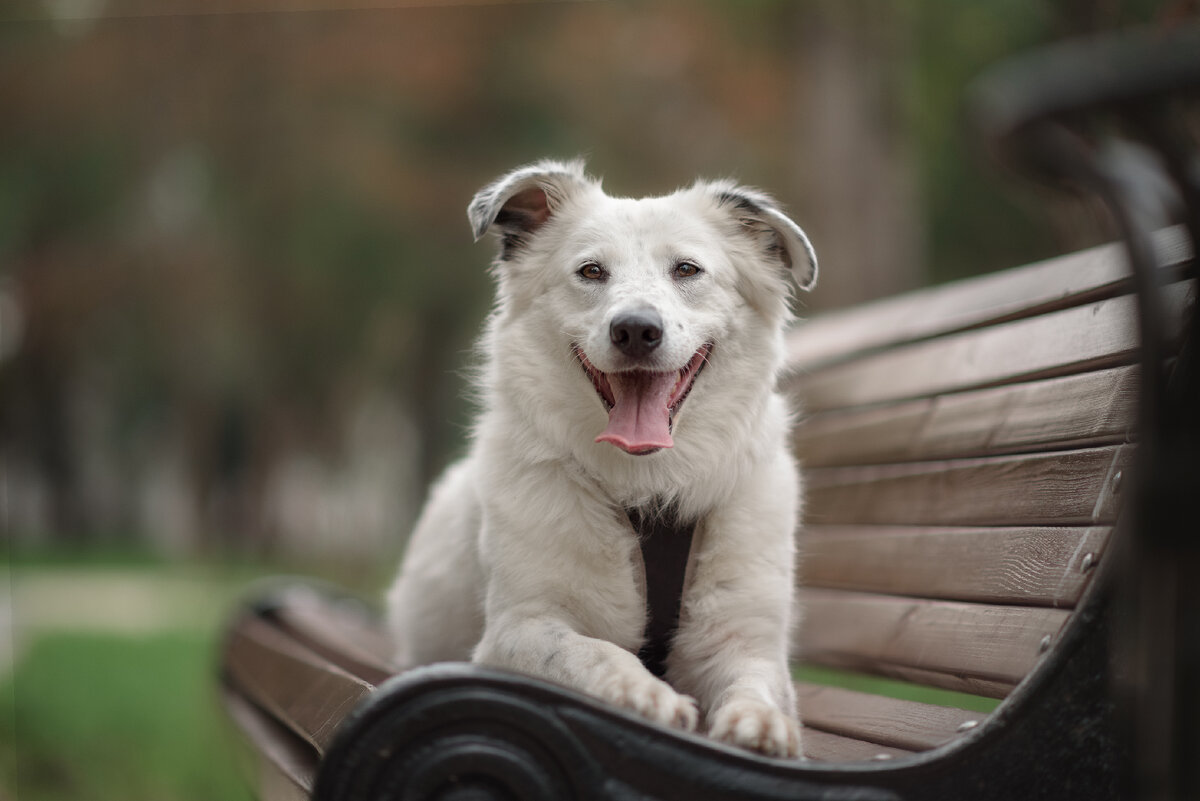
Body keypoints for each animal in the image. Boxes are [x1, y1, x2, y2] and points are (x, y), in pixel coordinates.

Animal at [384, 158, 816, 757]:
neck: (648, 483)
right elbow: (589, 650)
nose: (635, 329)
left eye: (687, 269)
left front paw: (762, 723)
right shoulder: (518, 629)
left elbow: (756, 680)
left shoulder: (741, 637)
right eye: (590, 272)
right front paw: (644, 692)